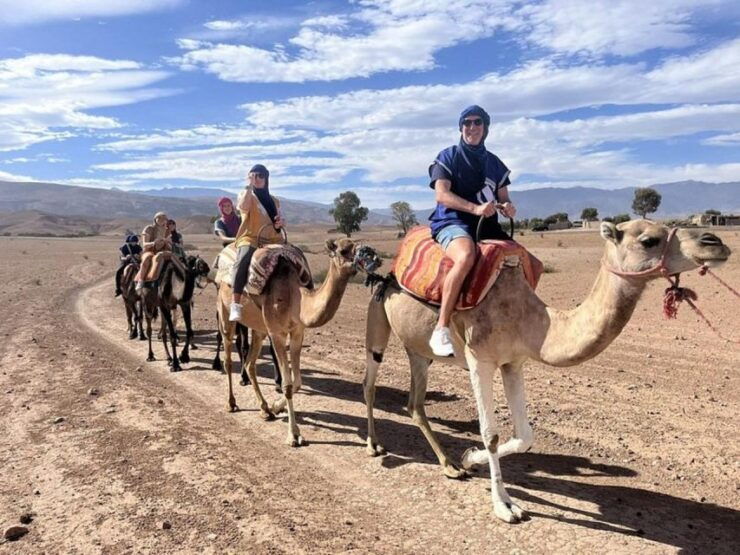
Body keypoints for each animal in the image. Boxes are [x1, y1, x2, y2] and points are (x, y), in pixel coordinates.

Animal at [217, 238, 380, 446]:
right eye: (344, 250)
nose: (373, 257)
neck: (294, 297)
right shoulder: (277, 333)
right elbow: (287, 385)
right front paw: (293, 434)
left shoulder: (297, 332)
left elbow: (298, 382)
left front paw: (276, 407)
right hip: (225, 312)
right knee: (229, 359)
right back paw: (231, 403)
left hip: (259, 329)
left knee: (249, 364)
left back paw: (264, 409)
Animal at [363, 220, 731, 523]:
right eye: (649, 240)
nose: (715, 242)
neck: (530, 318)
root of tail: (389, 272)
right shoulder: (480, 359)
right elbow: (490, 432)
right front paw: (504, 506)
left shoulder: (513, 362)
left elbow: (525, 436)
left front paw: (469, 458)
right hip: (378, 316)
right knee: (370, 382)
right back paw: (374, 446)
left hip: (418, 352)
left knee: (415, 403)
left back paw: (450, 466)